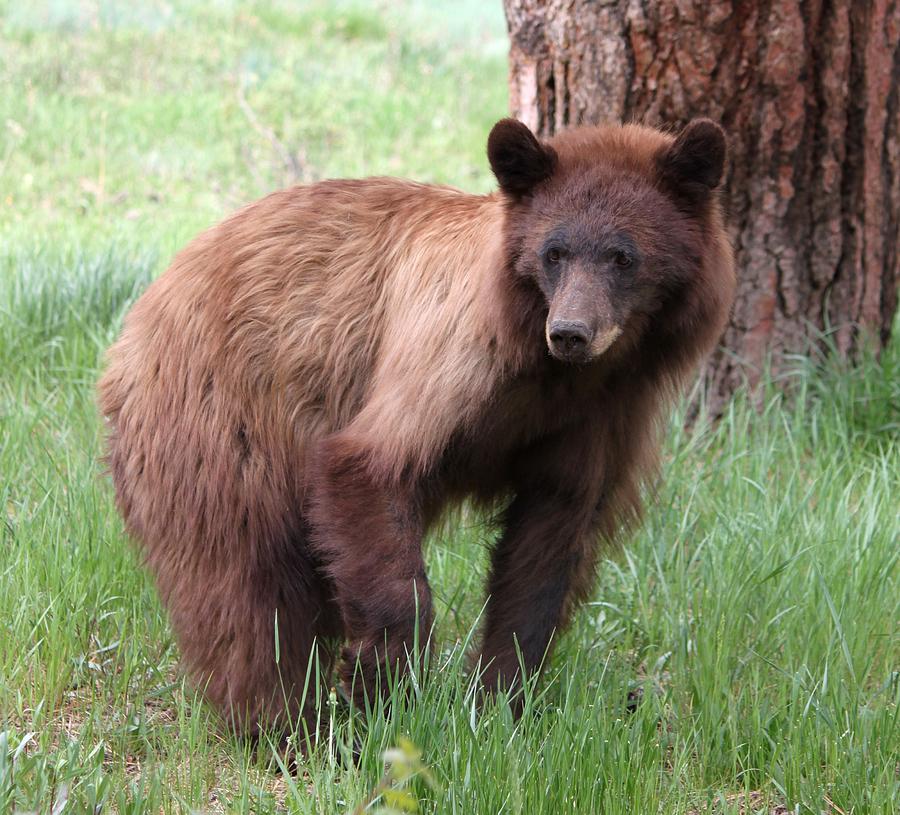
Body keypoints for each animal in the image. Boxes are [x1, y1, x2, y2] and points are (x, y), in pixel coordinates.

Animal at [98, 116, 736, 740]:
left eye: (623, 256)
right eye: (554, 251)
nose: (571, 331)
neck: (554, 374)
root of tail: (134, 324)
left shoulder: (600, 418)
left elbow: (547, 548)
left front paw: (501, 702)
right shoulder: (454, 356)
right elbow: (368, 466)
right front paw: (384, 689)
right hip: (222, 424)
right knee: (246, 586)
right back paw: (282, 725)